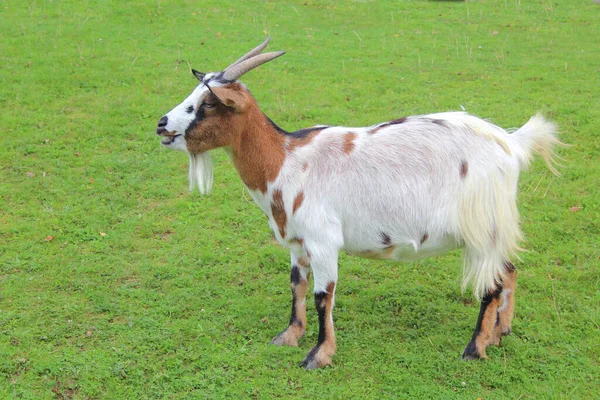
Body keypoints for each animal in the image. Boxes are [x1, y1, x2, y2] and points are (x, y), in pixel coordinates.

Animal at [155, 37, 564, 368]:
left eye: (207, 103)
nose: (161, 124)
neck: (286, 161)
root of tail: (512, 144)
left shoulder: (322, 241)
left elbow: (322, 296)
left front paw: (318, 355)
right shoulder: (298, 243)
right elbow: (296, 285)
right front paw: (289, 336)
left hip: (482, 225)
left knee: (492, 283)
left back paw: (475, 348)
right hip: (495, 227)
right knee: (509, 269)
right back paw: (500, 333)